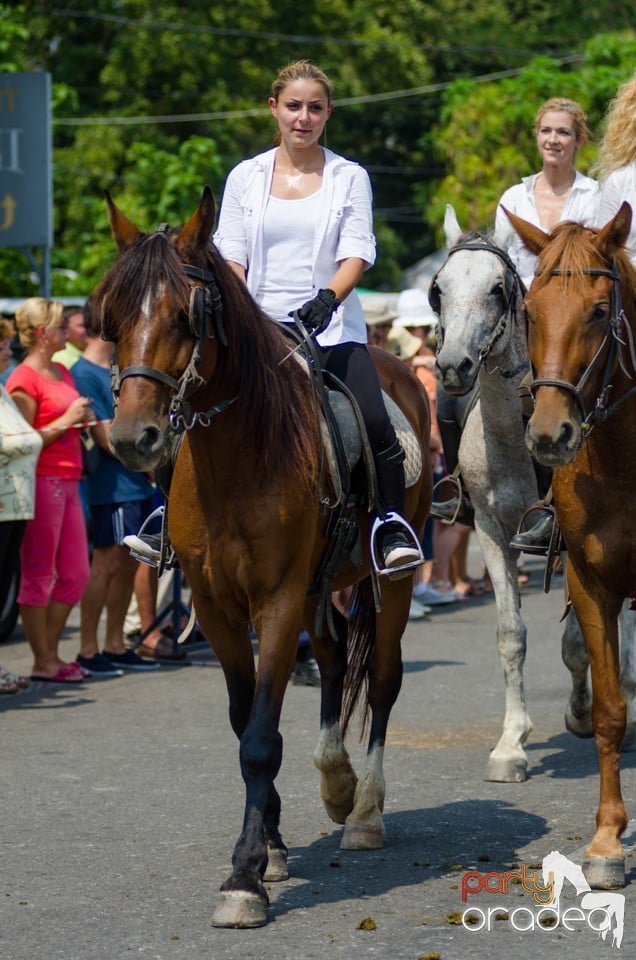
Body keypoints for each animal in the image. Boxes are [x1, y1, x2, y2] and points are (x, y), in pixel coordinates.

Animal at [94, 184, 432, 928]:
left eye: (187, 314)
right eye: (113, 314)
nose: (133, 438)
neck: (239, 457)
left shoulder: (274, 601)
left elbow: (260, 738)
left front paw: (245, 876)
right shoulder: (219, 606)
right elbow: (243, 718)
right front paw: (271, 844)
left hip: (389, 582)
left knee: (382, 678)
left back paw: (365, 811)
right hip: (318, 587)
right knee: (333, 660)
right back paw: (335, 781)